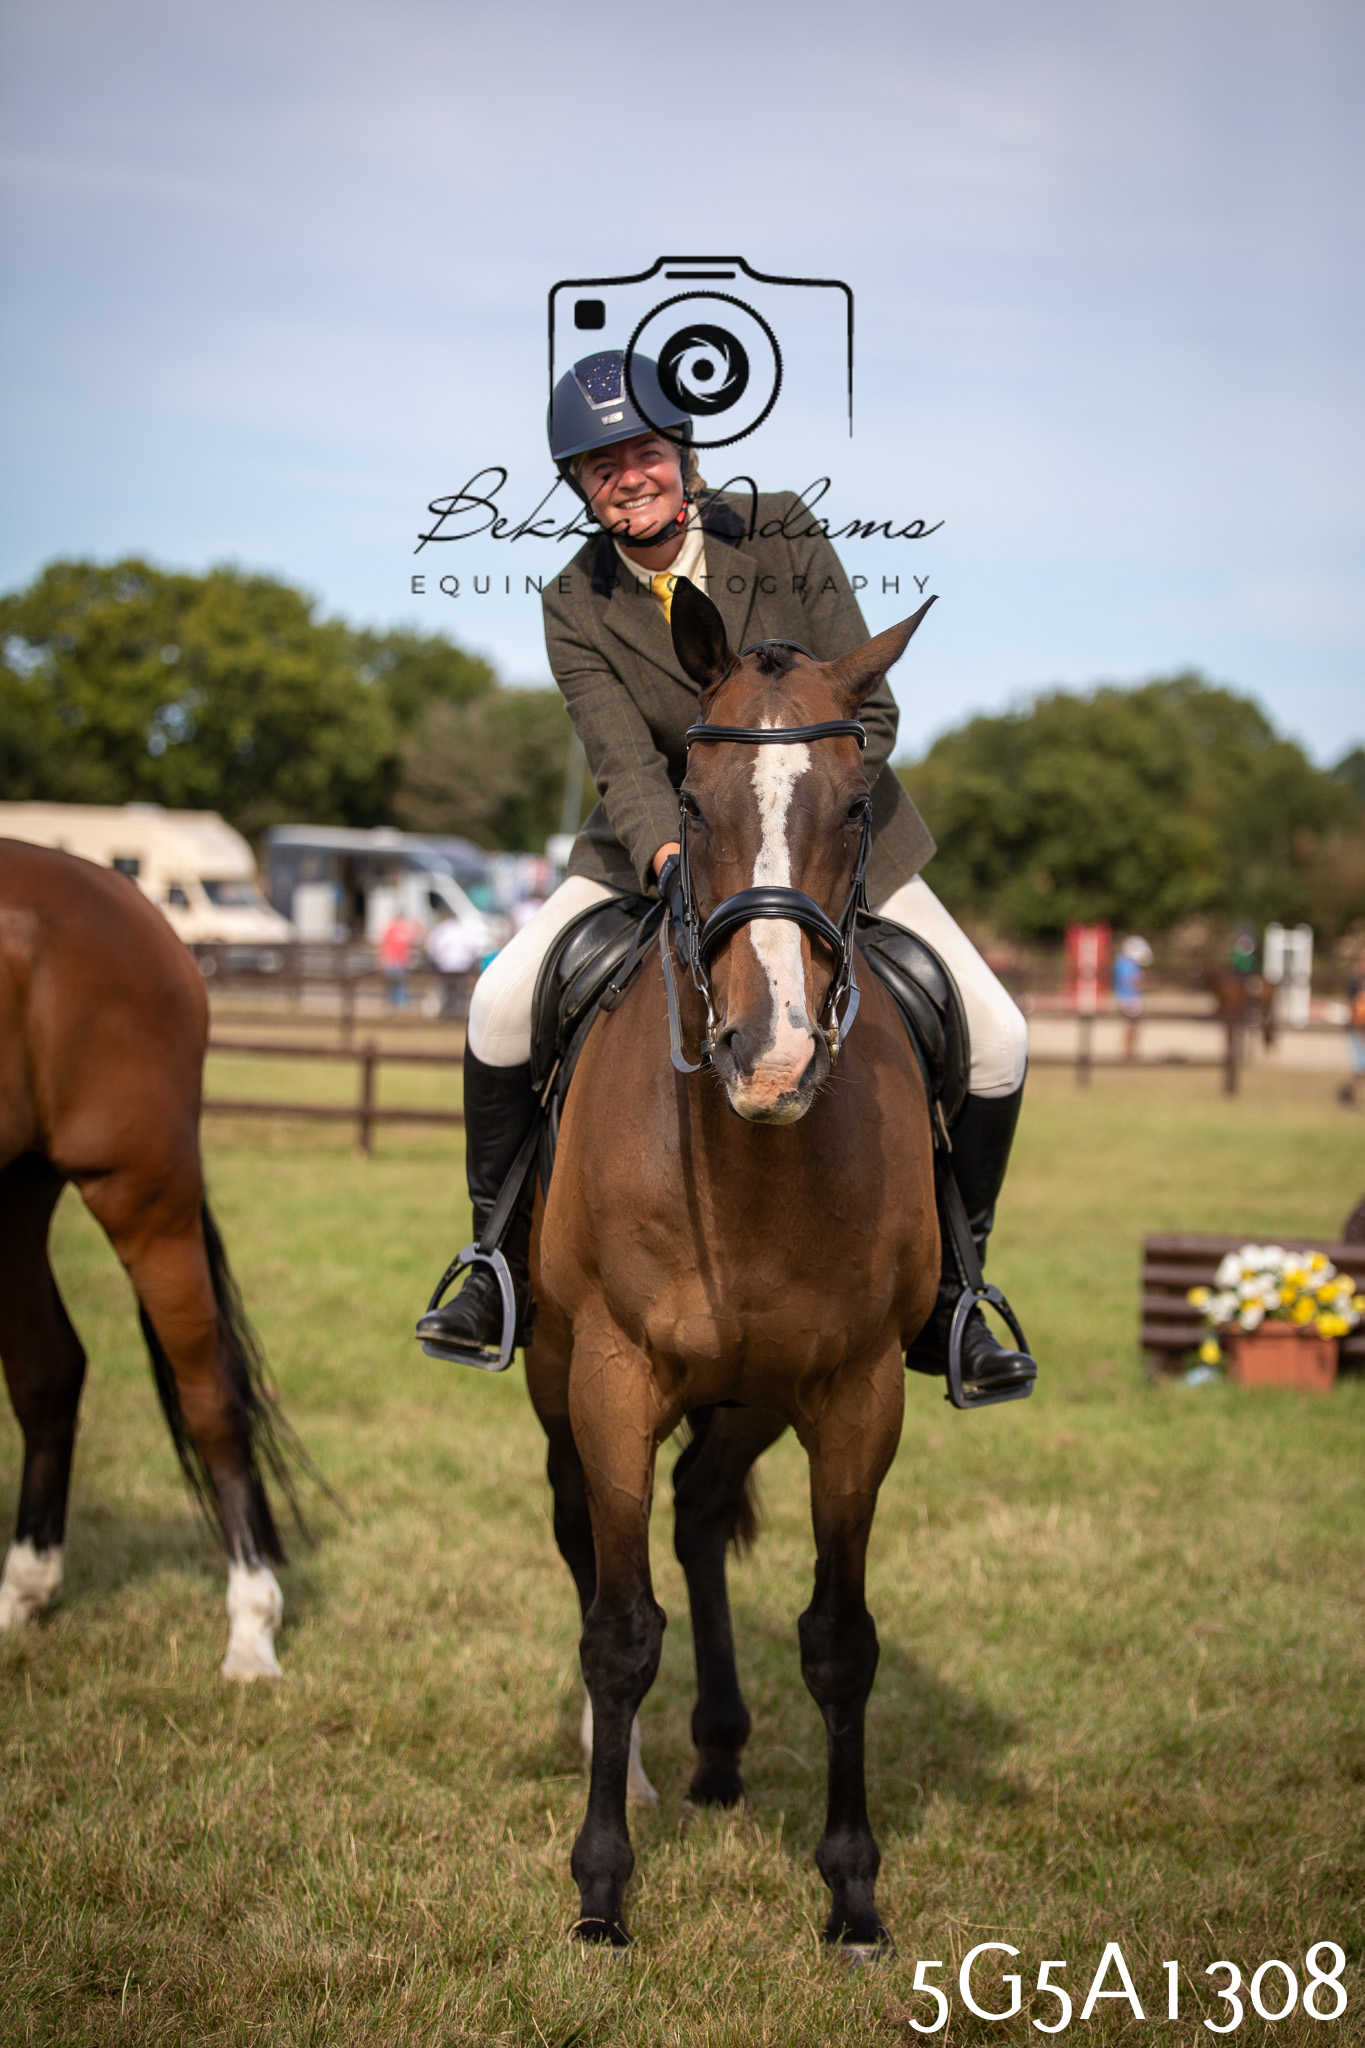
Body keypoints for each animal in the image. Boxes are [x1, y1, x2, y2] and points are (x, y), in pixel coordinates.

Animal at [0, 839, 300, 1679]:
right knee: (47, 1372)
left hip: (142, 1193)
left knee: (210, 1397)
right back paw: (22, 1591)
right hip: (14, 1194)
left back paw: (251, 1629)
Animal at [523, 578, 941, 1954]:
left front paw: (853, 1888)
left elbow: (841, 1639)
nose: (771, 1055)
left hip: (755, 1392)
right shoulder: (609, 1375)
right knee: (593, 1542)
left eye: (857, 803)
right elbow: (617, 1628)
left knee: (702, 1509)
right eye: (692, 805)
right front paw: (602, 1887)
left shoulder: (858, 1392)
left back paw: (715, 1751)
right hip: (560, 1375)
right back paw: (647, 1766)